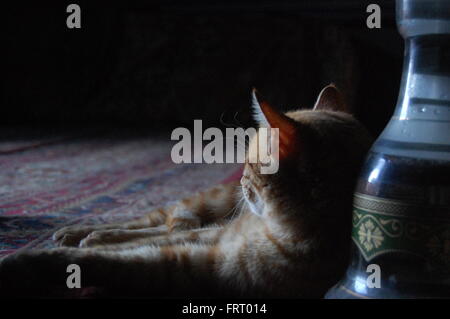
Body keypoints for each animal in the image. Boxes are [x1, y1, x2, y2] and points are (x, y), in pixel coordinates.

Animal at [0, 84, 372, 298]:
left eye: (249, 166)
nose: (240, 181)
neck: (277, 228)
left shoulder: (197, 263)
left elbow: (115, 257)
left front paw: (28, 262)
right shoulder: (215, 236)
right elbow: (142, 239)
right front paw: (82, 242)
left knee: (160, 227)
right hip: (207, 203)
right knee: (151, 221)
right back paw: (75, 231)